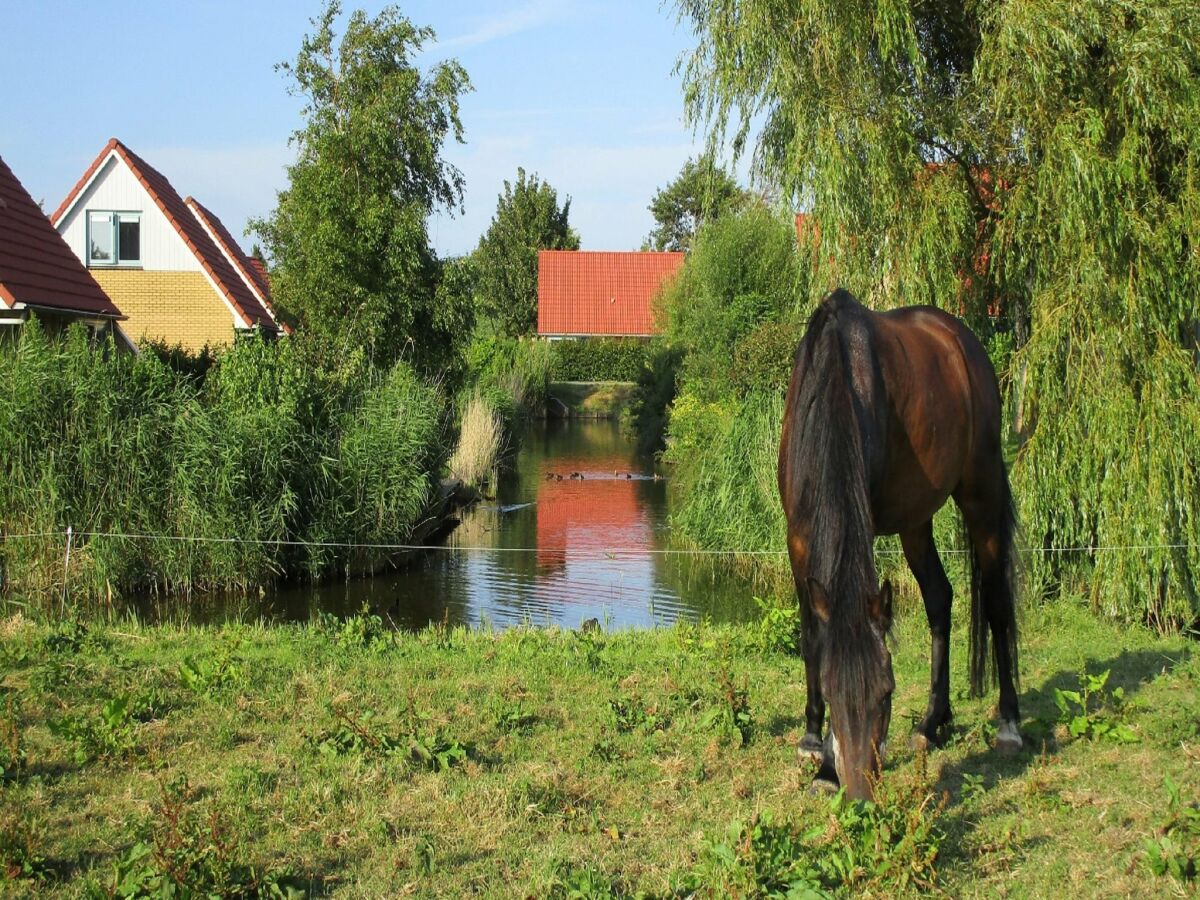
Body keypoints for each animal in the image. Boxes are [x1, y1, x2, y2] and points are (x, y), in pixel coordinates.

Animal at [777, 289, 1022, 801]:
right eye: (831, 693)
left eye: (886, 691)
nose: (860, 792)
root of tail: (961, 338)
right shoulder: (797, 539)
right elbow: (812, 637)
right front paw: (813, 745)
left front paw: (826, 765)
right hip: (917, 520)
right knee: (939, 598)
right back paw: (932, 722)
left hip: (982, 490)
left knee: (995, 601)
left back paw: (1009, 723)